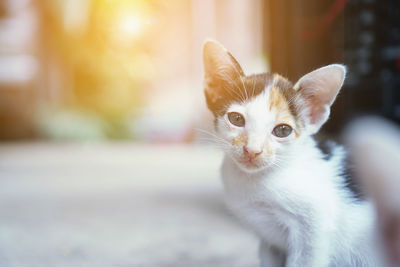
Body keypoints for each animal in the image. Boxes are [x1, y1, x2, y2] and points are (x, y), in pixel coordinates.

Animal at [202, 40, 382, 267]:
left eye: (282, 131)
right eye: (236, 119)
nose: (252, 150)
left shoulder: (315, 226)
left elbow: (305, 258)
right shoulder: (268, 240)